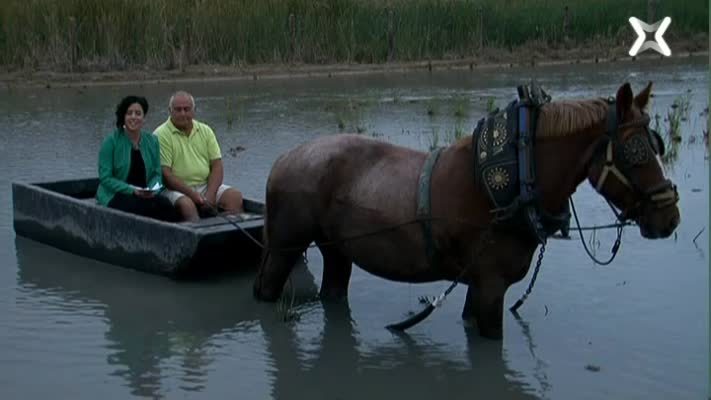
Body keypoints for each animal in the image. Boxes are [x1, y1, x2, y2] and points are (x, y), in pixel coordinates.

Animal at [253, 83, 680, 340]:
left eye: (657, 145)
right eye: (637, 152)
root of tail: (284, 159)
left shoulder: (479, 283)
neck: (519, 175)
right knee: (266, 291)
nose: (670, 218)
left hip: (338, 249)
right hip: (286, 247)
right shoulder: (491, 284)